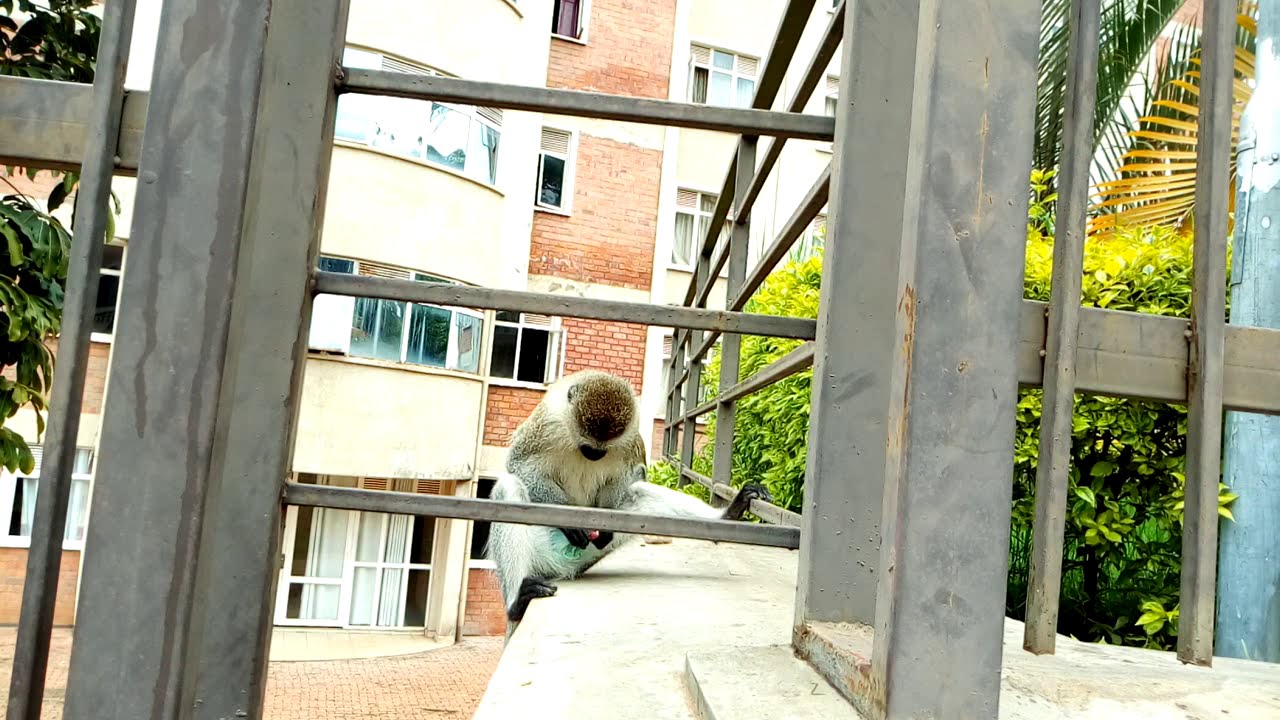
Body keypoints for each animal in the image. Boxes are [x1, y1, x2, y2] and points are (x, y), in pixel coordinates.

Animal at [485, 369, 771, 630]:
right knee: (508, 488)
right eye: (588, 445)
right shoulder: (545, 425)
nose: (595, 454)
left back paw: (729, 514)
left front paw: (605, 524)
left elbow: (630, 478)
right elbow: (519, 466)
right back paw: (517, 602)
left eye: (600, 448)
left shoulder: (630, 440)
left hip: (582, 555)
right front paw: (569, 521)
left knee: (637, 494)